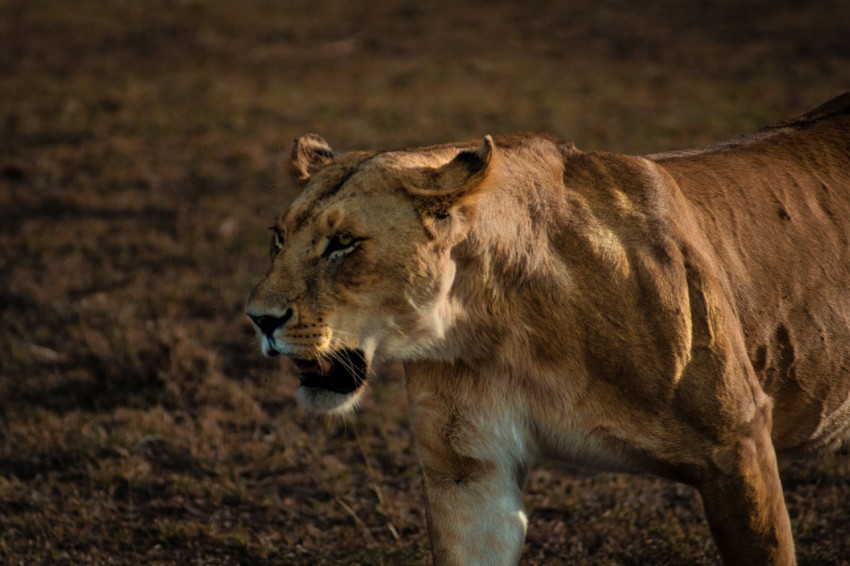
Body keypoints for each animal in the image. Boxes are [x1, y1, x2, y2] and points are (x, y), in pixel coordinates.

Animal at [246, 93, 850, 565]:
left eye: (343, 243)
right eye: (278, 238)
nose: (259, 319)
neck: (506, 325)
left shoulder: (737, 446)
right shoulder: (468, 474)